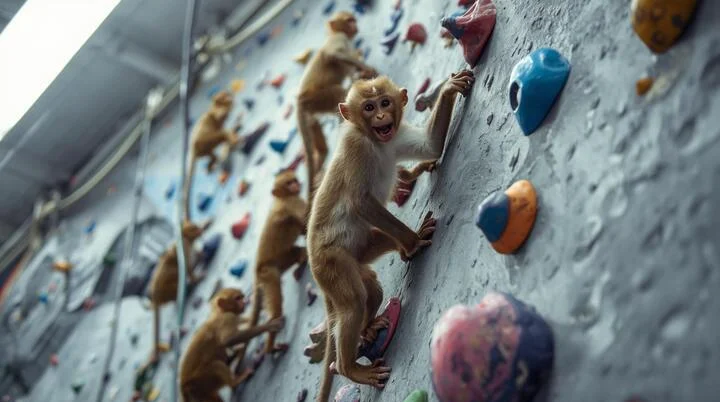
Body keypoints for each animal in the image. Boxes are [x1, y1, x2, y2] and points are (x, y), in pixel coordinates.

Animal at [147, 220, 211, 363]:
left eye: (196, 226)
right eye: (193, 229)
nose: (200, 230)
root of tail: (155, 297)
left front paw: (201, 254)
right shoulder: (185, 253)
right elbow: (189, 269)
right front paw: (196, 277)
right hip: (171, 289)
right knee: (178, 289)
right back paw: (187, 289)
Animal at [182, 91, 242, 220]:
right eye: (224, 96)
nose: (228, 95)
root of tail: (192, 149)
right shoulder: (217, 114)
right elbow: (222, 118)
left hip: (204, 148)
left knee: (213, 153)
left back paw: (213, 164)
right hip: (205, 140)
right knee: (222, 134)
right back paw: (232, 140)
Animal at [248, 169, 308, 355]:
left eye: (293, 180)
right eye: (288, 183)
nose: (295, 185)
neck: (281, 198)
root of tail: (257, 271)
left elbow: (304, 226)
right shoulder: (291, 202)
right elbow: (306, 218)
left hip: (279, 262)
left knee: (296, 251)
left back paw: (301, 262)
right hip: (268, 274)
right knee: (276, 306)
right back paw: (270, 346)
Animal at [296, 11, 379, 211]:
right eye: (349, 21)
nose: (355, 26)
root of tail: (299, 101)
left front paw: (361, 72)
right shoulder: (339, 39)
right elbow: (335, 55)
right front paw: (365, 69)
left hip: (312, 111)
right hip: (318, 98)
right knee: (339, 93)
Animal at [308, 70, 475, 401]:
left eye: (385, 102)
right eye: (369, 107)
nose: (382, 116)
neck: (376, 142)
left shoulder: (393, 138)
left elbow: (429, 146)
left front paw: (449, 88)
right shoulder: (356, 146)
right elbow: (361, 203)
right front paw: (414, 240)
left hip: (357, 253)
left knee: (371, 287)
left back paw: (369, 324)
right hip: (330, 263)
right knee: (354, 302)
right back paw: (349, 368)